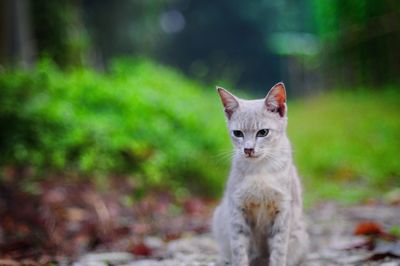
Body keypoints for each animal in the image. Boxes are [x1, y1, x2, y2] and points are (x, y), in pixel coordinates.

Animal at [212, 83, 310, 266]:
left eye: (263, 132)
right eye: (238, 133)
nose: (248, 149)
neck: (260, 171)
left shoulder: (282, 210)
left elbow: (279, 250)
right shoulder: (237, 210)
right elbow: (240, 249)